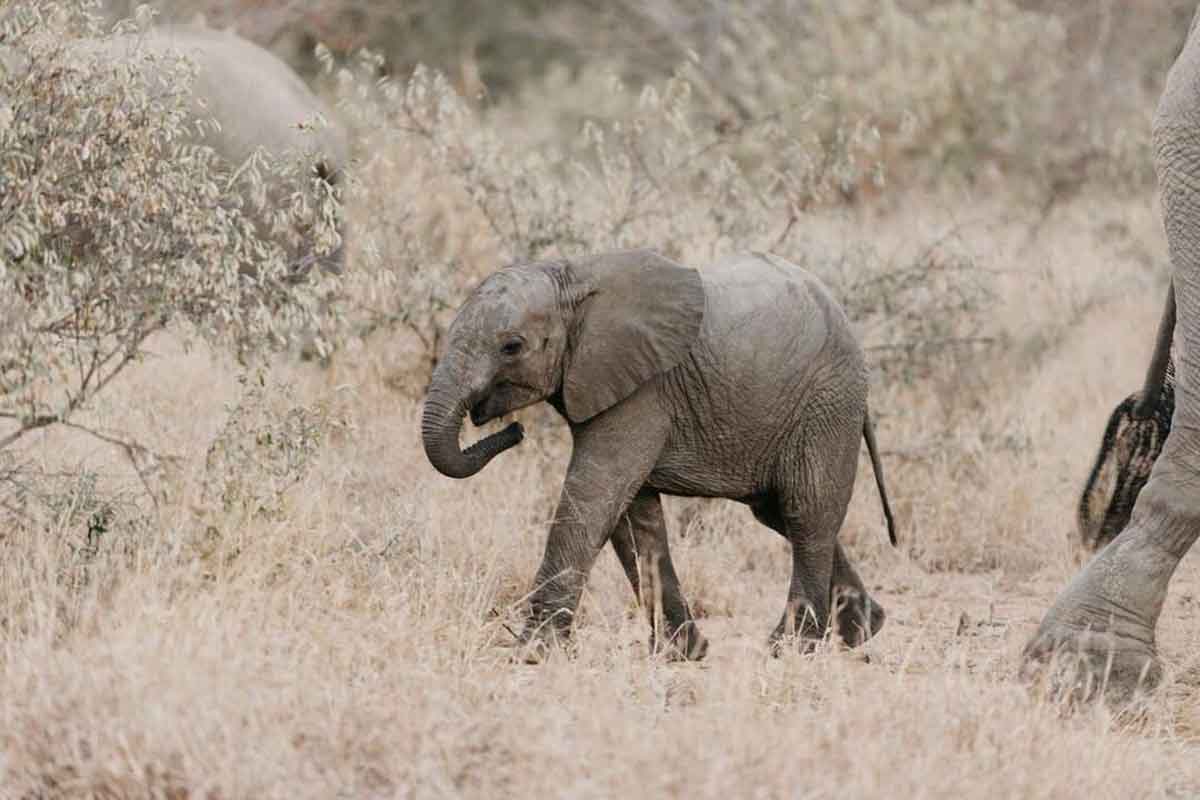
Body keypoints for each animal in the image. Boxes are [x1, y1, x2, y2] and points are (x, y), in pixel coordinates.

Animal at [421, 248, 897, 660]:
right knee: (779, 513)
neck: (571, 278)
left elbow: (593, 500)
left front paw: (534, 653)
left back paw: (792, 648)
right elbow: (634, 522)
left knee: (805, 513)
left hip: (827, 403)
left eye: (512, 347)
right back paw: (863, 630)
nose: (515, 431)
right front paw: (682, 654)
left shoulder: (644, 390)